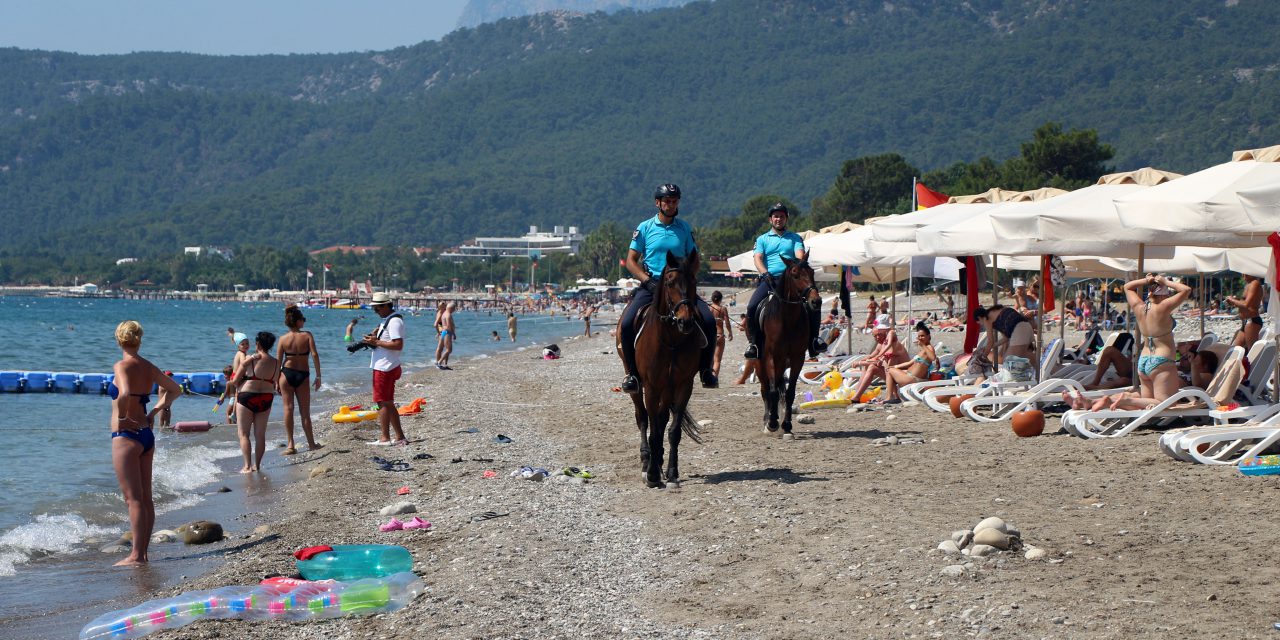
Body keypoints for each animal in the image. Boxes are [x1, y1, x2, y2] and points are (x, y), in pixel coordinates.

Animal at [614, 252, 706, 486]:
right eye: (669, 283)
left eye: (694, 281)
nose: (685, 321)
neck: (671, 339)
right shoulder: (652, 386)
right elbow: (653, 429)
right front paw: (653, 474)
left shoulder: (683, 385)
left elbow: (672, 430)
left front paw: (671, 472)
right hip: (638, 384)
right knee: (643, 417)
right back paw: (647, 460)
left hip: (668, 387)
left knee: (662, 418)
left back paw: (660, 460)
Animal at [757, 257, 819, 437]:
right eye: (795, 275)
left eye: (812, 272)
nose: (816, 301)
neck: (788, 318)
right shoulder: (771, 357)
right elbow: (772, 392)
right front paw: (771, 423)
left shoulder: (797, 357)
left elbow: (790, 392)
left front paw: (787, 425)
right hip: (759, 363)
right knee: (766, 390)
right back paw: (768, 420)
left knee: (780, 389)